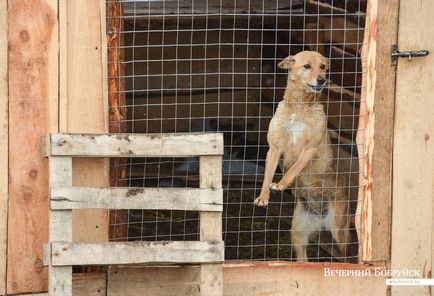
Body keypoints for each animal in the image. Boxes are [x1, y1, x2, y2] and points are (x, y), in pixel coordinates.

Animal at [254, 50, 352, 262]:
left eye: (323, 67)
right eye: (307, 66)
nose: (322, 80)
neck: (298, 107)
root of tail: (320, 217)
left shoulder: (310, 149)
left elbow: (293, 168)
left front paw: (281, 184)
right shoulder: (274, 148)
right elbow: (267, 174)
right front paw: (263, 196)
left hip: (340, 232)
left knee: (349, 255)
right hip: (298, 234)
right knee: (303, 259)